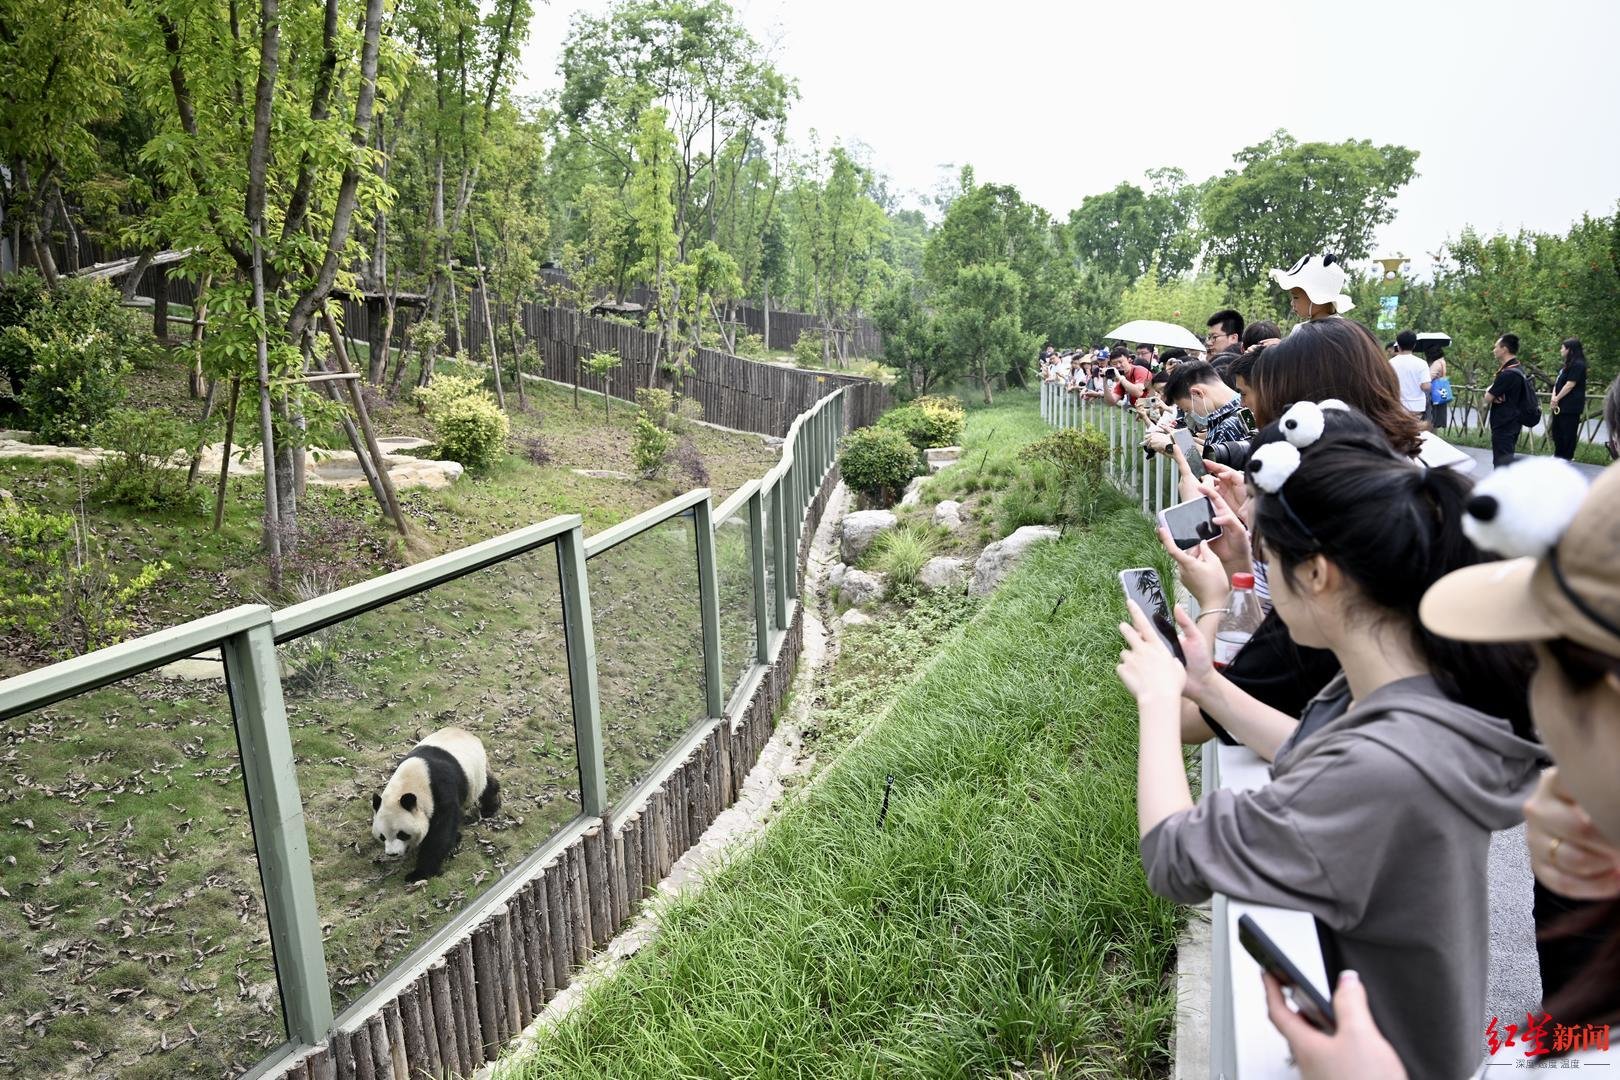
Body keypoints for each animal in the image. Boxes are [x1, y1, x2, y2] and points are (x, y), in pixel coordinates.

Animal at [372, 725, 498, 887]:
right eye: (382, 836)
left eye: (402, 834)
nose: (392, 853)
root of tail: (467, 733)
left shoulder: (441, 791)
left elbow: (440, 833)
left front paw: (419, 873)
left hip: (476, 773)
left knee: (486, 787)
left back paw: (490, 809)